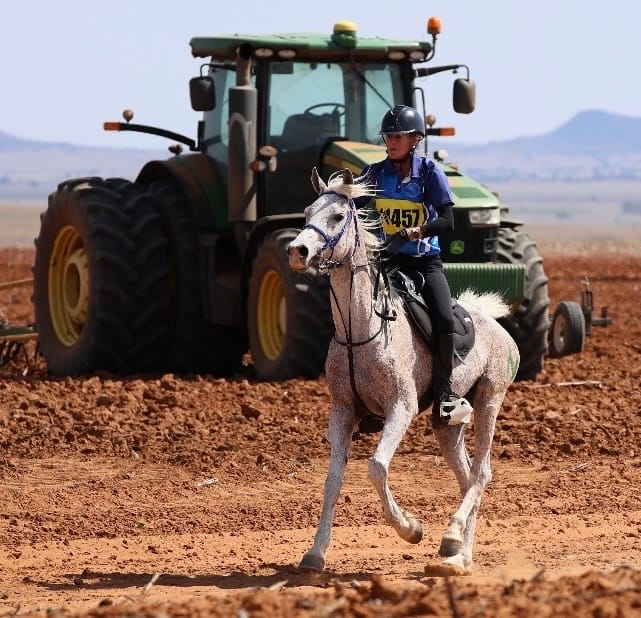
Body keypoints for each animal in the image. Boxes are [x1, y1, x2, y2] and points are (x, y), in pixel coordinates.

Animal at [287, 167, 520, 576]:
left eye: (338, 216)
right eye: (307, 212)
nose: (298, 251)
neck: (360, 330)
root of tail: (494, 323)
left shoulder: (402, 407)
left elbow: (377, 467)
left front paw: (411, 529)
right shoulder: (342, 412)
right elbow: (332, 481)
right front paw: (315, 554)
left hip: (490, 399)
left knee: (482, 473)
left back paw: (452, 539)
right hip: (447, 425)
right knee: (466, 477)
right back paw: (458, 556)